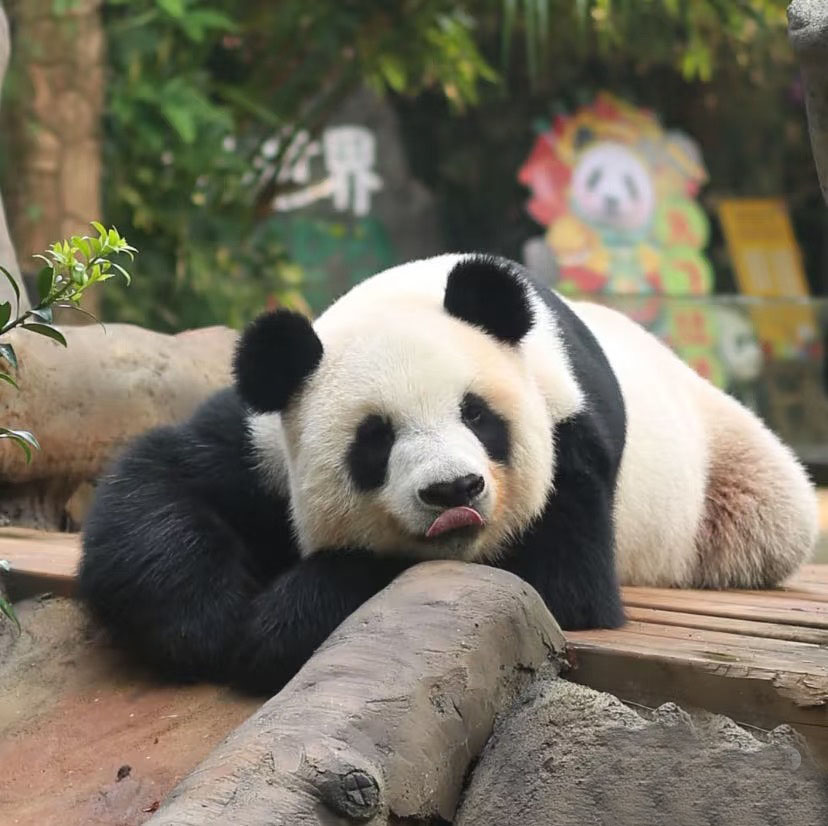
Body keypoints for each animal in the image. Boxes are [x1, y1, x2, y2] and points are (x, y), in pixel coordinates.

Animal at [78, 254, 818, 694]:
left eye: (478, 415)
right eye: (374, 440)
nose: (454, 491)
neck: (410, 296)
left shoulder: (566, 431)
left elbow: (555, 584)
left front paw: (277, 625)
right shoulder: (264, 435)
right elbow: (161, 487)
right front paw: (203, 623)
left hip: (726, 471)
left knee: (767, 513)